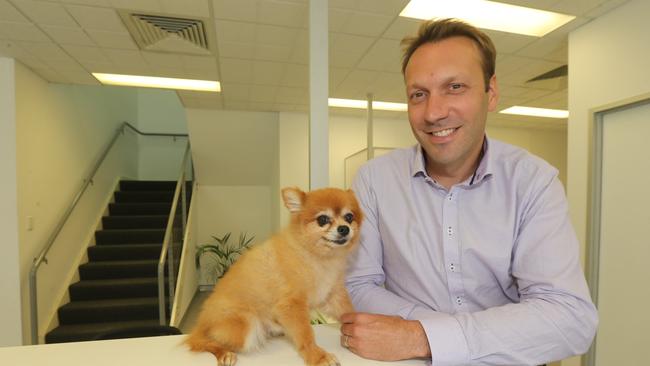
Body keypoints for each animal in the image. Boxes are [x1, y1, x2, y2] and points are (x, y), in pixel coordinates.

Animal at [185, 187, 362, 364]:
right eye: (323, 219)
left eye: (349, 217)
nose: (344, 228)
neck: (314, 256)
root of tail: (201, 324)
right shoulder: (291, 305)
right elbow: (305, 334)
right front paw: (317, 356)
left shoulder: (331, 294)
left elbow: (347, 310)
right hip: (243, 326)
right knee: (203, 341)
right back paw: (224, 353)